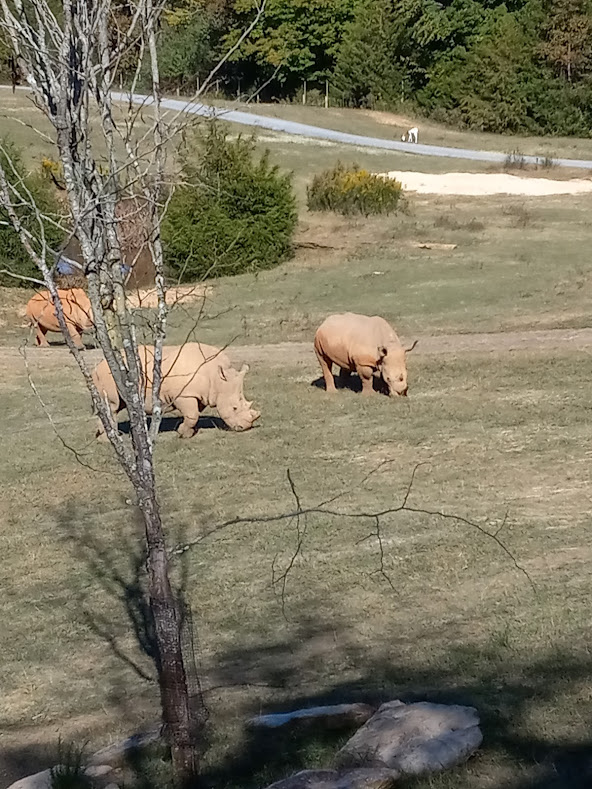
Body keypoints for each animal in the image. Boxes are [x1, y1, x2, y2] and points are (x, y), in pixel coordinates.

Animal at [92, 342, 260, 439]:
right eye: (235, 408)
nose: (244, 428)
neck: (217, 377)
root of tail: (97, 366)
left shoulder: (199, 395)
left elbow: (193, 415)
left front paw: (189, 432)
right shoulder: (184, 394)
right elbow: (192, 415)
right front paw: (183, 434)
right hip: (108, 375)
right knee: (112, 405)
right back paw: (110, 438)